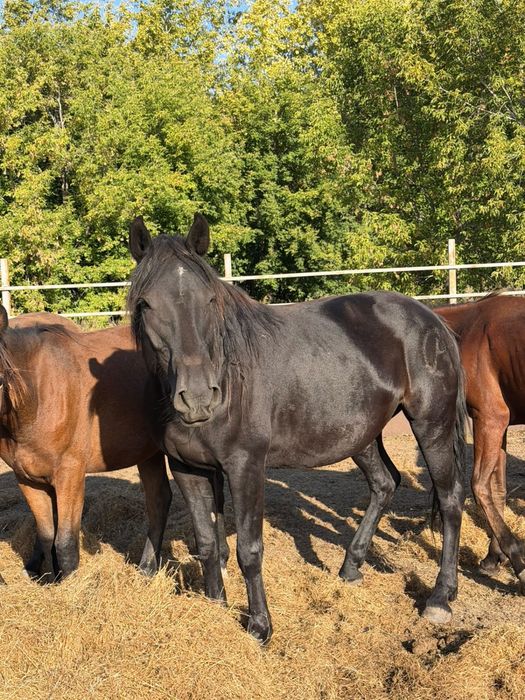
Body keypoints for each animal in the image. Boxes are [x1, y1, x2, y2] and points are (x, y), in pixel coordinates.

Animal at [0, 307, 173, 581]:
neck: (38, 398)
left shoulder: (69, 475)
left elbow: (65, 541)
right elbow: (46, 533)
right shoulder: (26, 479)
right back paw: (148, 567)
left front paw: (69, 584)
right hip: (148, 454)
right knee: (159, 500)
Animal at [127, 213, 467, 644]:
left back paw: (440, 597)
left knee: (451, 498)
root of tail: (433, 319)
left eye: (210, 300)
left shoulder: (246, 467)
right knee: (385, 483)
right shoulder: (187, 468)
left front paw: (259, 626)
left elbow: (249, 550)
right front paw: (216, 607)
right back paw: (350, 568)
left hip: (431, 425)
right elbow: (206, 542)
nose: (199, 397)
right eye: (146, 304)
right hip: (361, 435)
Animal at [435, 293, 525, 590]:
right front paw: (494, 556)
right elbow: (498, 490)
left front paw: (516, 559)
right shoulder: (500, 424)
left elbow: (479, 486)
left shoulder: (490, 417)